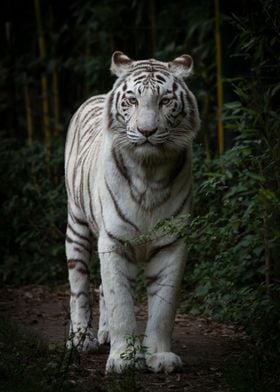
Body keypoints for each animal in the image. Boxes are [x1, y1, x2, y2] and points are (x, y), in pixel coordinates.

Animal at [64, 51, 199, 374]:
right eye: (132, 100)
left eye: (165, 100)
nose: (147, 132)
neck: (149, 173)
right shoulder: (114, 240)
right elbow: (120, 303)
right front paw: (124, 358)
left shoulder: (171, 242)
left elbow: (163, 306)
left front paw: (160, 357)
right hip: (76, 225)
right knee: (79, 286)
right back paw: (81, 339)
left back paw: (102, 334)